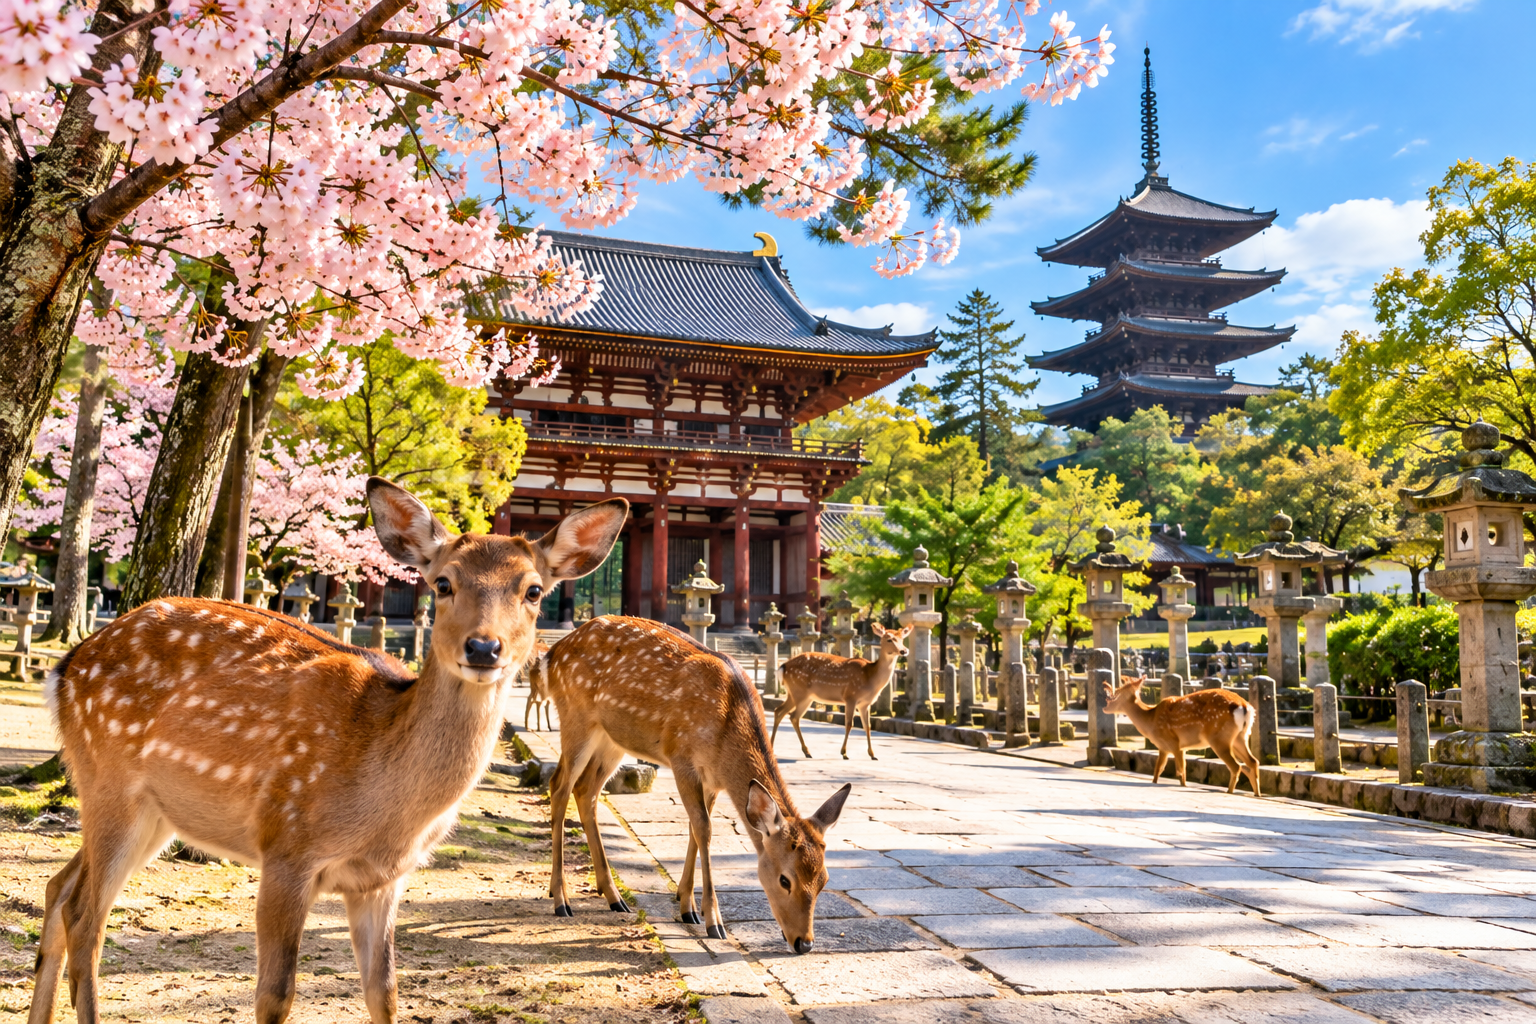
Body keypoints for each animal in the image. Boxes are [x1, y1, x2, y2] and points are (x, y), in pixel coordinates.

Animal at [28, 479, 627, 1024]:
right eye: (443, 583)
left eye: (533, 590)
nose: (483, 647)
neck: (383, 806)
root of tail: (65, 668)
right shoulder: (286, 848)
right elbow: (275, 996)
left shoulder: (385, 879)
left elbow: (385, 992)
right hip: (112, 783)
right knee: (85, 918)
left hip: (154, 812)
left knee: (58, 888)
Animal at [541, 615, 851, 952]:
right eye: (785, 880)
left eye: (824, 879)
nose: (804, 943)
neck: (725, 735)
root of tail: (552, 654)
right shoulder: (681, 757)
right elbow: (704, 829)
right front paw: (713, 921)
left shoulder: (712, 777)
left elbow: (694, 829)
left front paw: (686, 905)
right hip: (576, 717)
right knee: (559, 786)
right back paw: (560, 899)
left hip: (611, 738)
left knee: (586, 791)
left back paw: (613, 897)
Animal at [772, 623, 911, 760]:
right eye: (889, 639)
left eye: (902, 639)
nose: (904, 650)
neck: (870, 677)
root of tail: (783, 667)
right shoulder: (850, 697)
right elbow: (849, 724)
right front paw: (844, 753)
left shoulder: (865, 704)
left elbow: (867, 726)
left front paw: (872, 754)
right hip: (799, 692)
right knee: (789, 715)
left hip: (800, 695)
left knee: (783, 713)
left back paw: (795, 750)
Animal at [1102, 676, 1263, 798]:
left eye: (1118, 691)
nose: (1105, 686)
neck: (1151, 720)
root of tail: (1245, 707)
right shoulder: (1167, 747)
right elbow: (1159, 770)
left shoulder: (1174, 743)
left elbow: (1179, 773)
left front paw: (1183, 785)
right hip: (1240, 737)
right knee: (1253, 761)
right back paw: (1257, 794)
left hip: (1219, 738)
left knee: (1236, 766)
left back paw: (1229, 791)